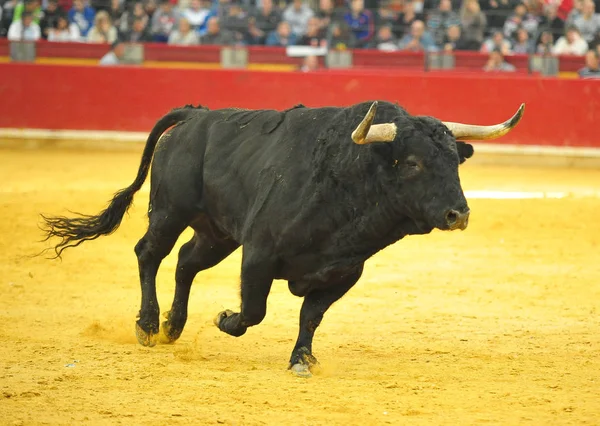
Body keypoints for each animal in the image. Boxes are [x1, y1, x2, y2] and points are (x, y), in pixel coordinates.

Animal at [39, 101, 524, 378]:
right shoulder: (259, 253)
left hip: (217, 233)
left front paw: (301, 360)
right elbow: (254, 310)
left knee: (186, 262)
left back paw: (173, 327)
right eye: (412, 163)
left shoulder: (343, 272)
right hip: (170, 211)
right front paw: (225, 319)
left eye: (454, 161)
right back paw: (147, 324)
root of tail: (196, 115)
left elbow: (311, 316)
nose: (458, 214)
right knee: (150, 254)